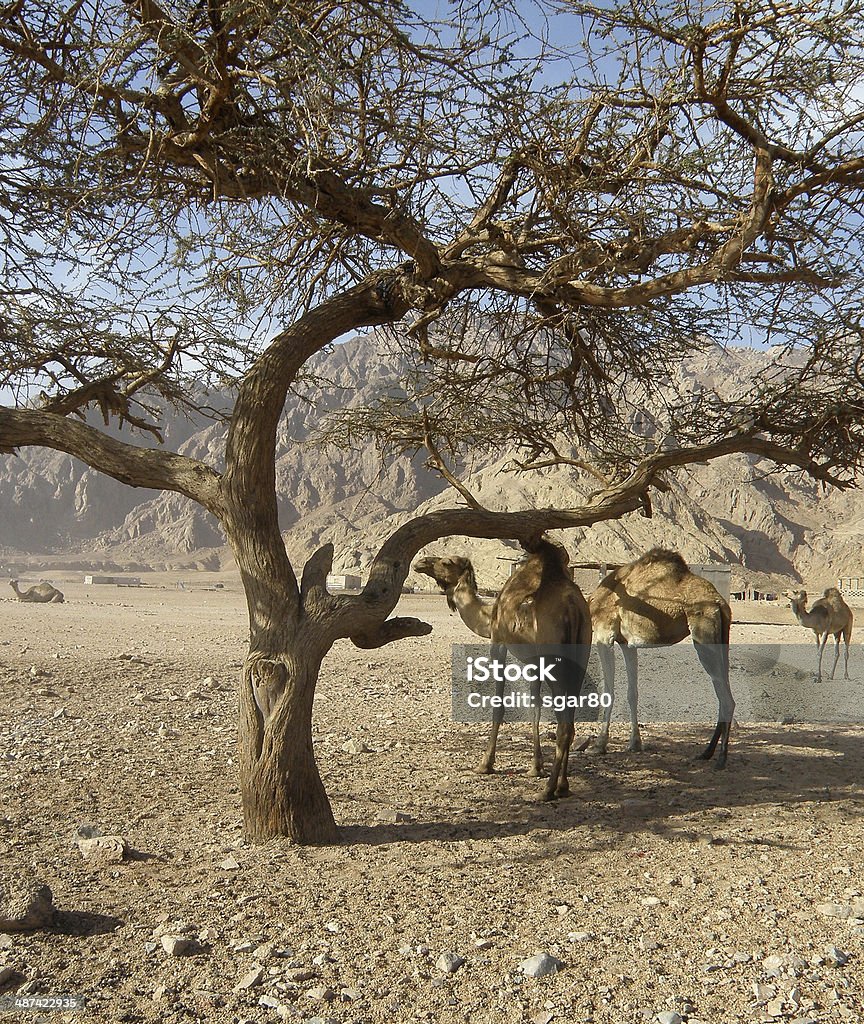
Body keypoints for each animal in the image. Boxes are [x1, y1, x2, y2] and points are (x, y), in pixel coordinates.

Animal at [413, 536, 589, 798]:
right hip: (581, 654)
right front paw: (535, 767)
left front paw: (485, 764)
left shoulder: (498, 641)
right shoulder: (534, 662)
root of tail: (573, 609)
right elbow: (534, 707)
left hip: (554, 658)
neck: (489, 615)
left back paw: (548, 790)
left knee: (564, 724)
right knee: (571, 717)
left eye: (446, 561)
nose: (421, 562)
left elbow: (499, 705)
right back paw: (563, 786)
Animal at [585, 552, 737, 770]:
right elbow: (632, 693)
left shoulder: (603, 634)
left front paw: (599, 745)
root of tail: (720, 603)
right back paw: (706, 753)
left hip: (703, 631)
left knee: (726, 698)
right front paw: (635, 744)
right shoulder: (627, 643)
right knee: (722, 690)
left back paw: (720, 759)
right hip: (723, 636)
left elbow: (609, 691)